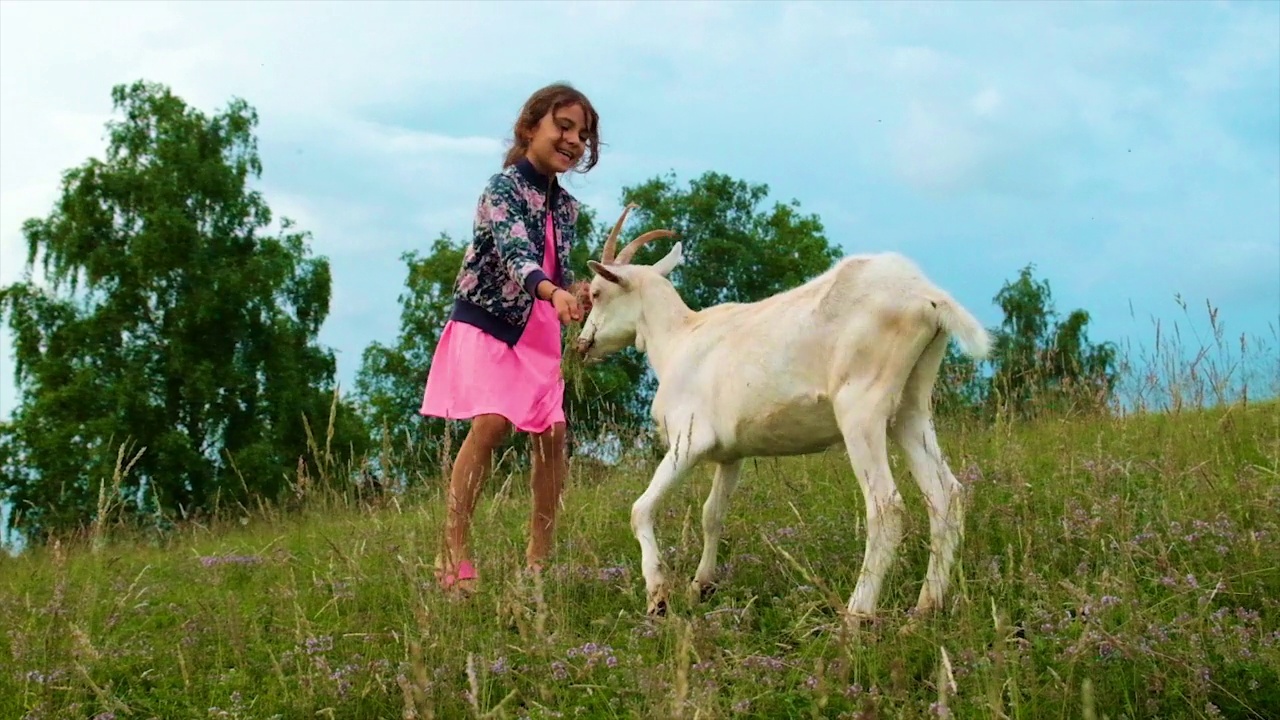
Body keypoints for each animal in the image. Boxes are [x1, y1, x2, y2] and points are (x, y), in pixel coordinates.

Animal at [576, 203, 993, 622]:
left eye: (596, 292)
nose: (582, 345)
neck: (679, 338)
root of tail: (927, 296)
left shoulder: (688, 440)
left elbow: (641, 509)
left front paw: (658, 598)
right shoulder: (731, 454)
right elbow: (712, 514)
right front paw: (702, 587)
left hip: (861, 408)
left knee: (886, 506)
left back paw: (856, 616)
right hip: (910, 407)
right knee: (945, 494)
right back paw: (925, 608)